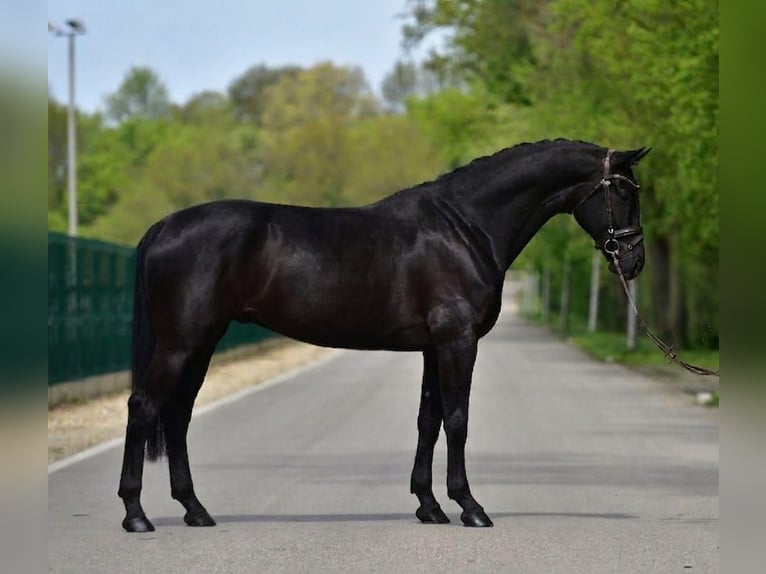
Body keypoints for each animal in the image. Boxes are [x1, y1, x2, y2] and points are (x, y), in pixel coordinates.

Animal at [118, 139, 650, 532]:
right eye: (625, 192)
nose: (634, 261)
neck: (465, 228)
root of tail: (165, 225)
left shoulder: (434, 348)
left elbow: (428, 421)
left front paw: (429, 506)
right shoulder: (458, 342)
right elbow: (457, 419)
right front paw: (470, 507)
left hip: (201, 344)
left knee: (178, 416)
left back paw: (195, 510)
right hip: (181, 344)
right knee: (144, 408)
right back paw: (136, 514)